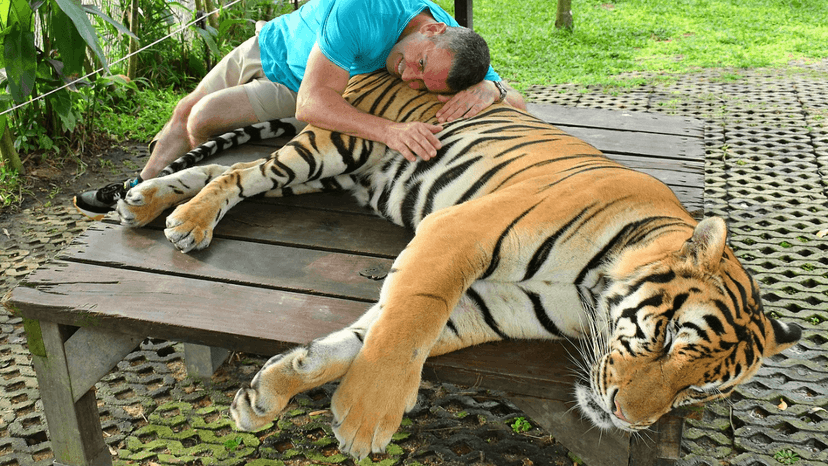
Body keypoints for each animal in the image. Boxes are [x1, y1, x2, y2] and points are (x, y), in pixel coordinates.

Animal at [115, 71, 802, 460]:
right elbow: (404, 327)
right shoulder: (456, 234)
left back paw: (148, 201)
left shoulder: (486, 307)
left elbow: (359, 341)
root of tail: (366, 73)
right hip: (335, 146)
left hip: (323, 177)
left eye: (700, 389)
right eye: (664, 339)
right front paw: (365, 420)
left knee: (226, 167)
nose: (624, 419)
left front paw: (265, 394)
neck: (587, 297)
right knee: (239, 172)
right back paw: (186, 221)